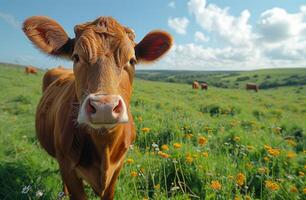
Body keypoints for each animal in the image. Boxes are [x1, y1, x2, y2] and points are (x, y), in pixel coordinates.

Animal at [22, 16, 172, 200]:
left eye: (132, 60)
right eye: (76, 57)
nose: (104, 107)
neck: (104, 145)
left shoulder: (117, 168)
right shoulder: (68, 167)